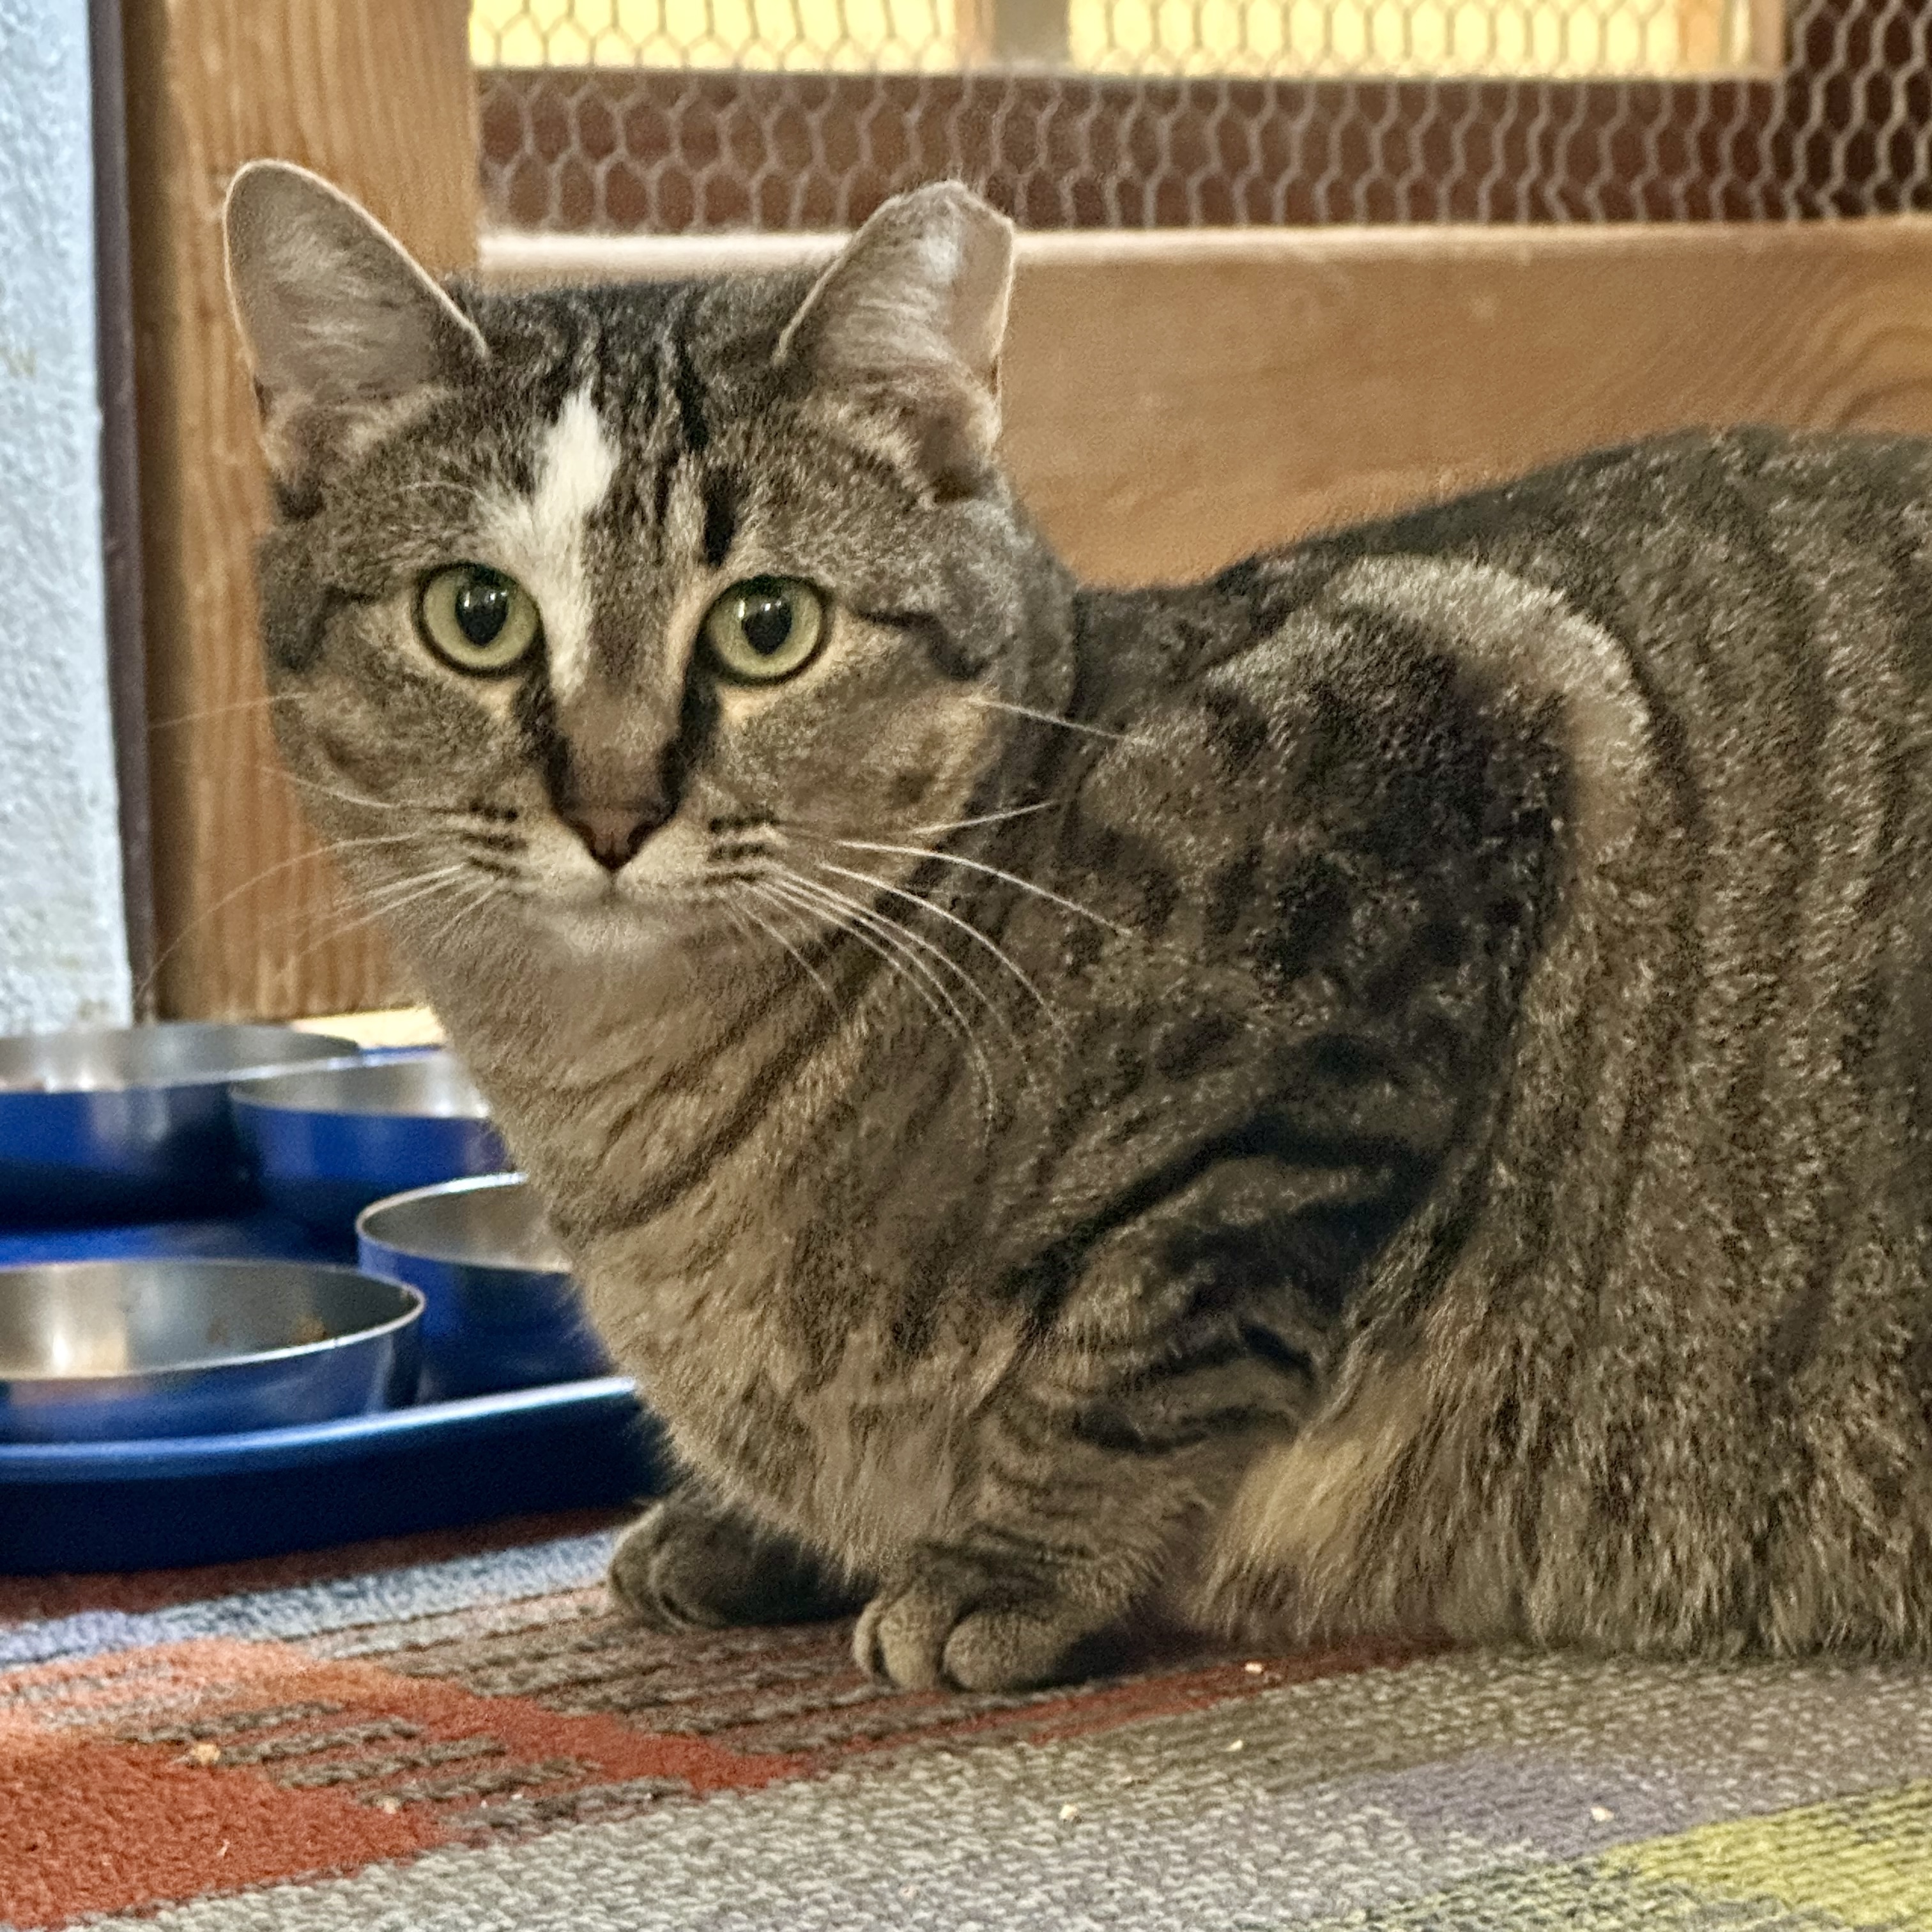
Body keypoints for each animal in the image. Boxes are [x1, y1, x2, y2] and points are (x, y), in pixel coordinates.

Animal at [219, 162, 1932, 1692]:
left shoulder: (1440, 755)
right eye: (476, 616)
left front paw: (999, 1570)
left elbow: (1134, 1347)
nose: (614, 808)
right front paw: (744, 1528)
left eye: (768, 627)